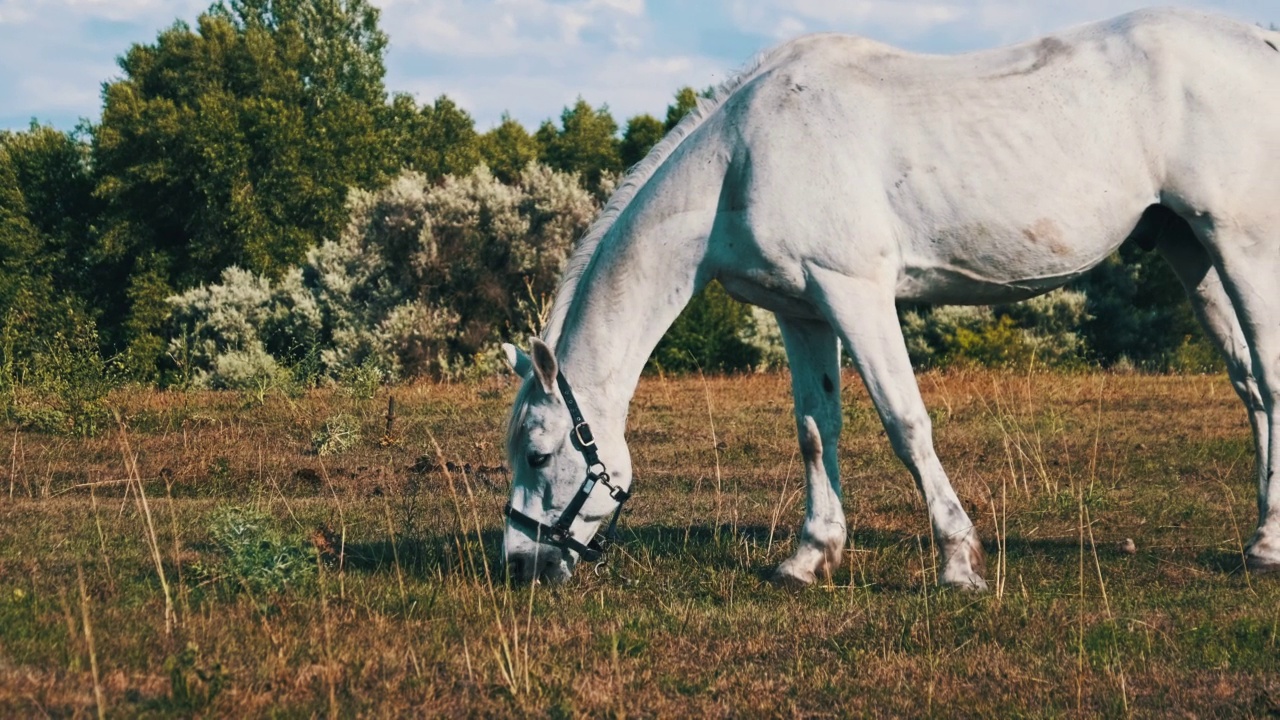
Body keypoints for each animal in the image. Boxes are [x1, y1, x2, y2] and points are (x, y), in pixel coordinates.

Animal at [496, 8, 1280, 586]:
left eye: (537, 454)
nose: (520, 565)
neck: (741, 158)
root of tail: (1257, 40)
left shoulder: (855, 293)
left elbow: (905, 423)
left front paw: (959, 562)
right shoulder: (801, 312)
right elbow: (816, 430)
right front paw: (809, 557)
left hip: (1243, 246)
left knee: (1269, 379)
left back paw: (1270, 546)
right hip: (1192, 250)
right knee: (1250, 387)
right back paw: (1259, 539)